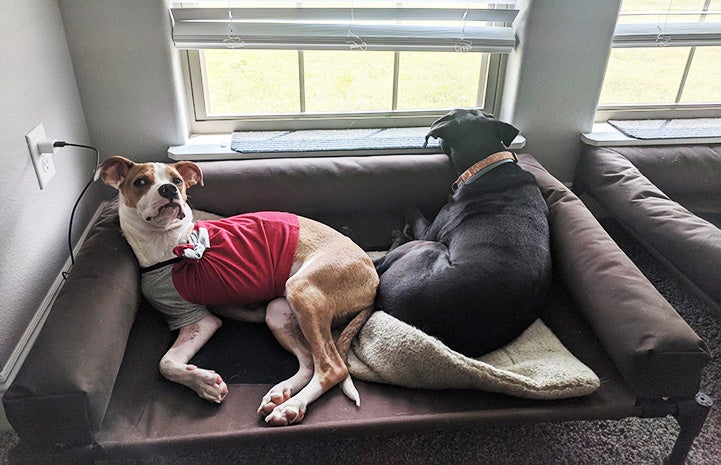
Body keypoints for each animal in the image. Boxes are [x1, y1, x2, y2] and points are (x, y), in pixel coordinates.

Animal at [95, 156, 380, 424]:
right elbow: (167, 363)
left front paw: (205, 383)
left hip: (303, 291)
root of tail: (373, 279)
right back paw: (281, 393)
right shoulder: (193, 319)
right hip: (278, 312)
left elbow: (164, 363)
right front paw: (203, 383)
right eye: (140, 182)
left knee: (332, 368)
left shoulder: (201, 321)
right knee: (310, 362)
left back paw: (291, 406)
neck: (168, 245)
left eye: (177, 180)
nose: (168, 189)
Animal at [374, 109, 548, 356]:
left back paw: (397, 236)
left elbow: (414, 212)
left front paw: (408, 210)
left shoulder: (430, 232)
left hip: (427, 248)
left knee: (383, 259)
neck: (488, 164)